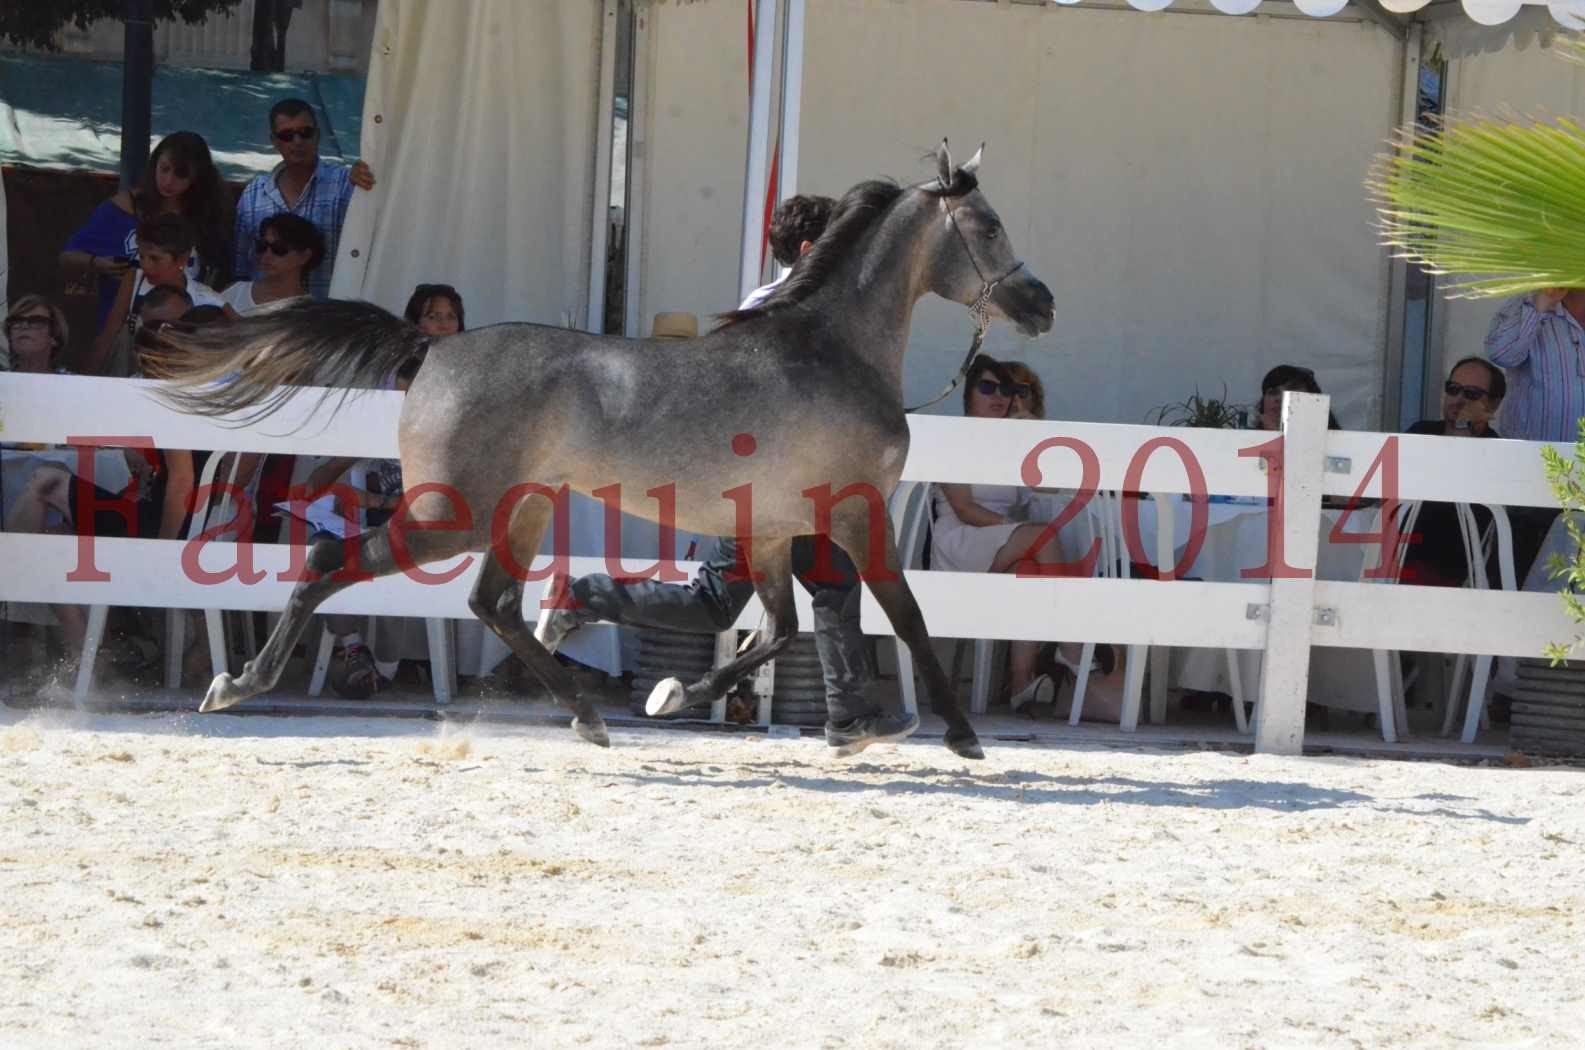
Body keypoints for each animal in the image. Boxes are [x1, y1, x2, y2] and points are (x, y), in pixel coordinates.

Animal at [160, 144, 1052, 761]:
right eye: (989, 225)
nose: (1040, 302)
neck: (830, 349)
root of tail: (431, 347)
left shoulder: (772, 531)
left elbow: (778, 630)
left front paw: (671, 695)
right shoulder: (859, 514)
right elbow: (904, 616)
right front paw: (963, 735)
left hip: (520, 511)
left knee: (494, 603)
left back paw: (589, 714)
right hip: (450, 515)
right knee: (327, 561)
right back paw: (234, 685)